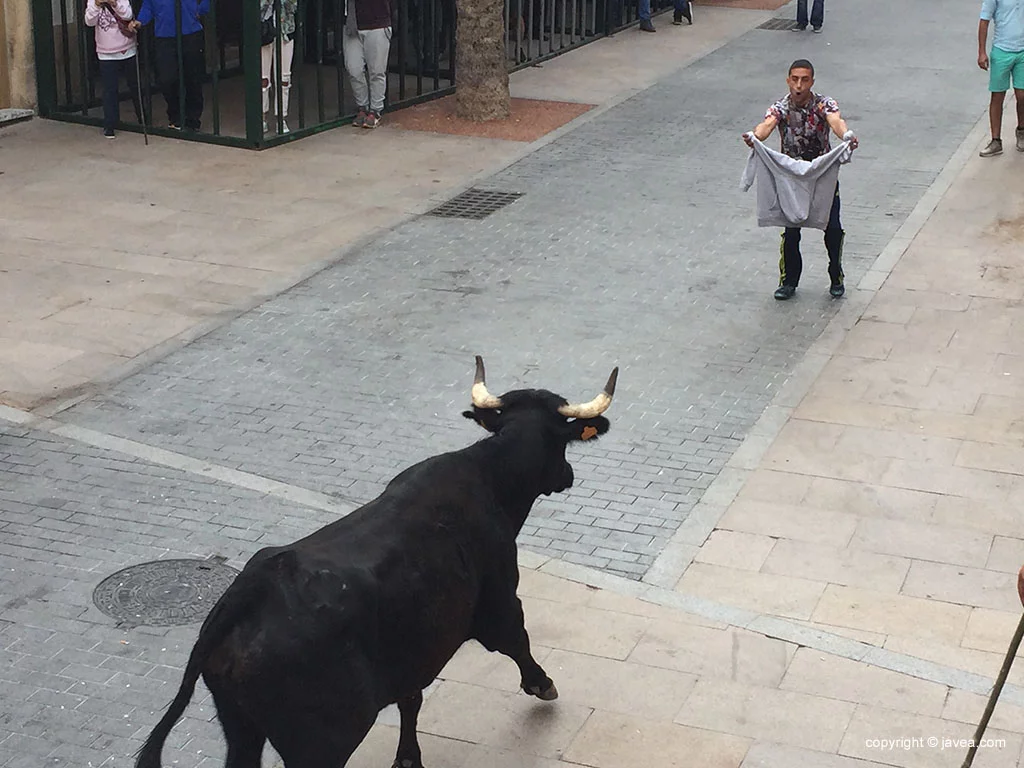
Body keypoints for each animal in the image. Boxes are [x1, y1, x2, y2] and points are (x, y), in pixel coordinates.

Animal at [134, 360, 614, 768]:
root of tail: (250, 592)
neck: (490, 476)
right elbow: (517, 640)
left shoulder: (414, 647)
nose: (568, 477)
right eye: (563, 440)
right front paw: (542, 683)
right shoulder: (497, 600)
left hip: (241, 725)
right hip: (320, 741)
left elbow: (411, 698)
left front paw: (408, 757)